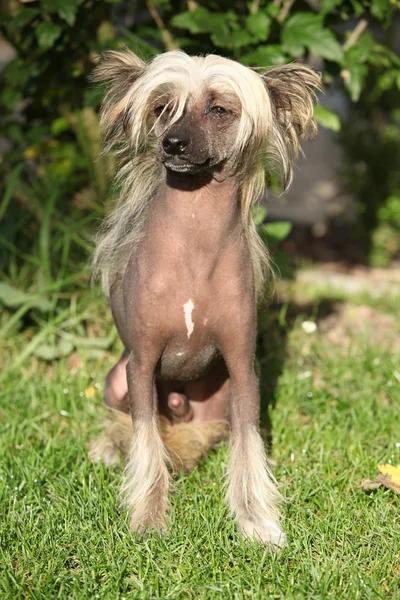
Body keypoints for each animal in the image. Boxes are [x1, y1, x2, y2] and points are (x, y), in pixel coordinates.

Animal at [89, 50, 320, 548]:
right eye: (162, 108)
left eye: (218, 109)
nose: (172, 143)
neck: (194, 244)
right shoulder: (140, 366)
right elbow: (145, 441)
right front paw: (149, 518)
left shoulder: (242, 367)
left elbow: (249, 446)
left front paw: (256, 520)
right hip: (116, 381)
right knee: (126, 424)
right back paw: (107, 448)